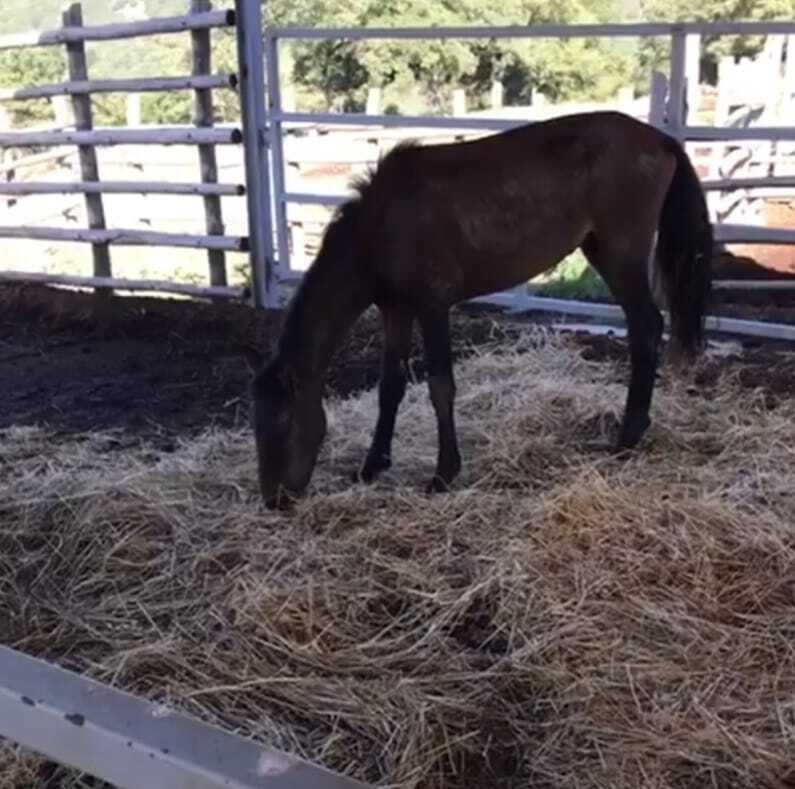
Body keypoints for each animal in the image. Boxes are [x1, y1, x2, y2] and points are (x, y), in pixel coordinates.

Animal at [252, 111, 712, 504]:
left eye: (283, 423)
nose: (275, 500)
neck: (380, 227)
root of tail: (660, 140)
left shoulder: (433, 307)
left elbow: (440, 387)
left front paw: (443, 474)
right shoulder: (395, 310)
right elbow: (390, 387)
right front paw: (372, 465)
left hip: (622, 255)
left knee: (646, 325)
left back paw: (627, 437)